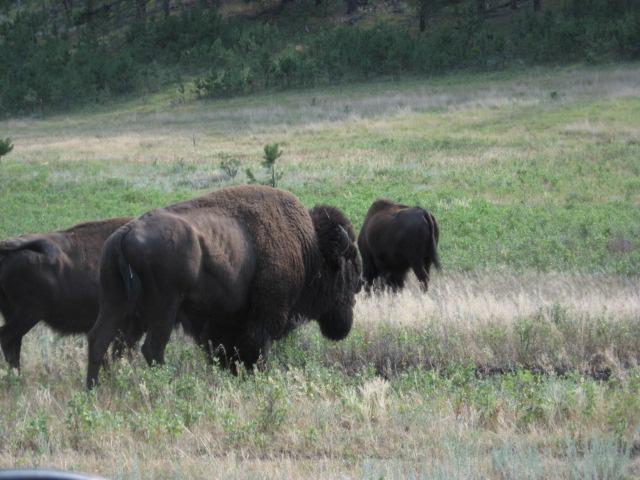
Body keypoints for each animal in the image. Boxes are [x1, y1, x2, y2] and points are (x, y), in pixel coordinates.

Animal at [87, 186, 362, 388]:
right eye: (348, 264)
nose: (359, 286)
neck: (308, 247)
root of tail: (124, 234)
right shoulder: (264, 318)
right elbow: (257, 350)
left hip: (116, 302)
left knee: (100, 340)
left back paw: (94, 389)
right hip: (164, 308)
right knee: (152, 348)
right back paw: (165, 385)